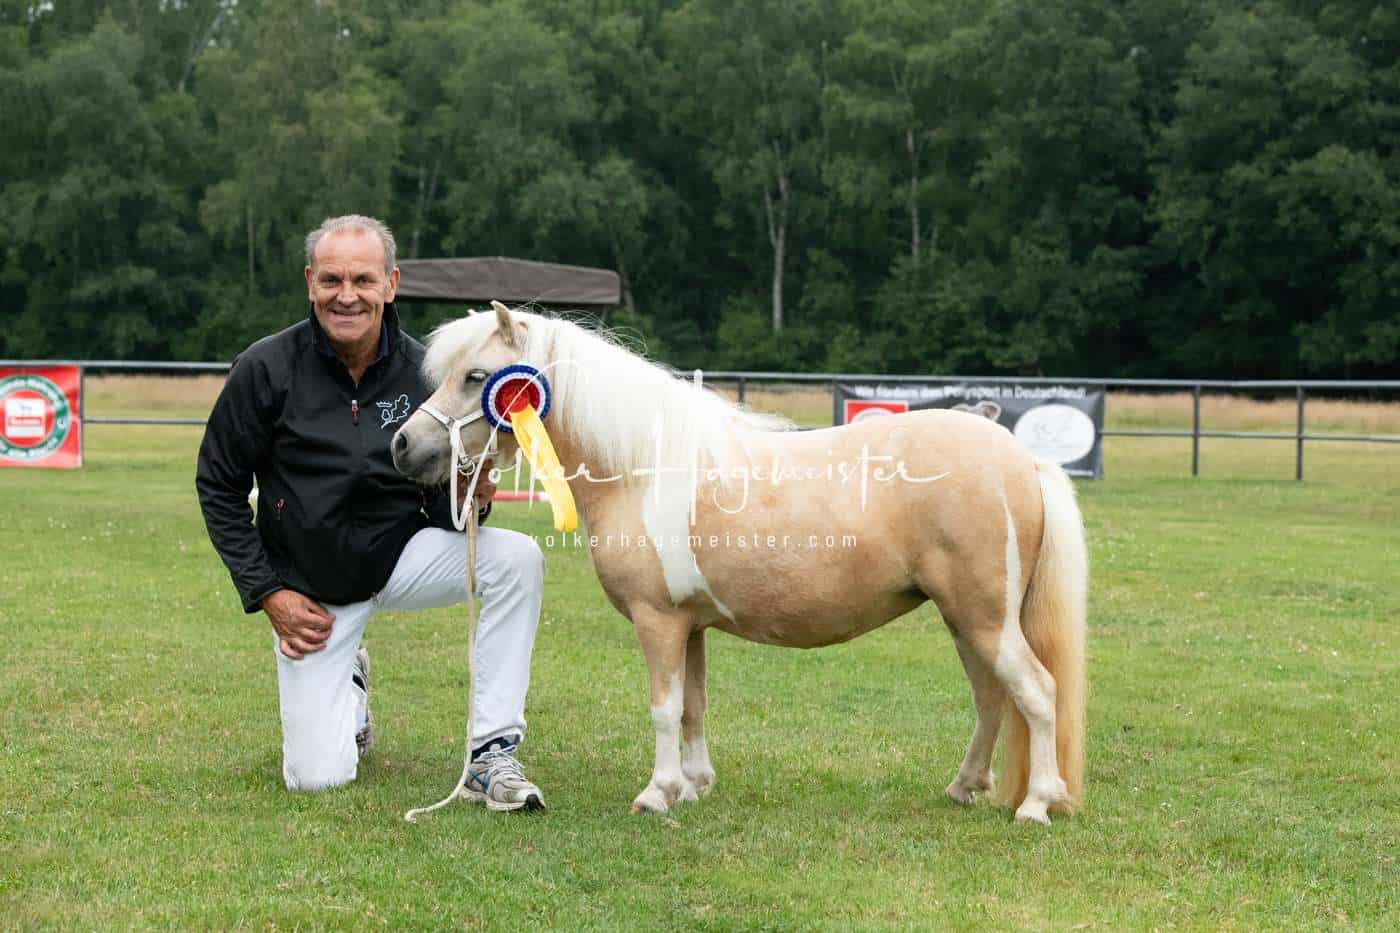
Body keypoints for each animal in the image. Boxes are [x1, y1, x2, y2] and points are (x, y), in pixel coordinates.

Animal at [390, 304, 1088, 824]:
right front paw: (693, 785)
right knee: (993, 698)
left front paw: (656, 794)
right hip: (965, 619)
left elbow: (664, 707)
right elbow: (693, 706)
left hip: (984, 619)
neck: (642, 469)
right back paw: (965, 787)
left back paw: (1037, 803)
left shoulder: (658, 622)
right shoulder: (690, 626)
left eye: (475, 376)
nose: (403, 446)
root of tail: (1022, 458)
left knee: (1036, 692)